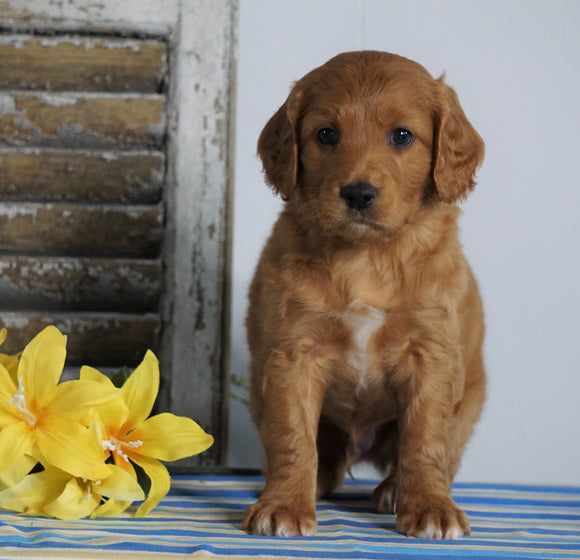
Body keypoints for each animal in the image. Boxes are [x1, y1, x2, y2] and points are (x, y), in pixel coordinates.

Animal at [242, 51, 488, 540]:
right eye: (325, 134)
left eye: (402, 135)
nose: (357, 193)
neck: (365, 256)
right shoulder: (292, 352)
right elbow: (293, 436)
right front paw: (284, 504)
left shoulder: (431, 354)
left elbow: (424, 439)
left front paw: (430, 507)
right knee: (320, 455)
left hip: (471, 397)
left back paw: (396, 490)